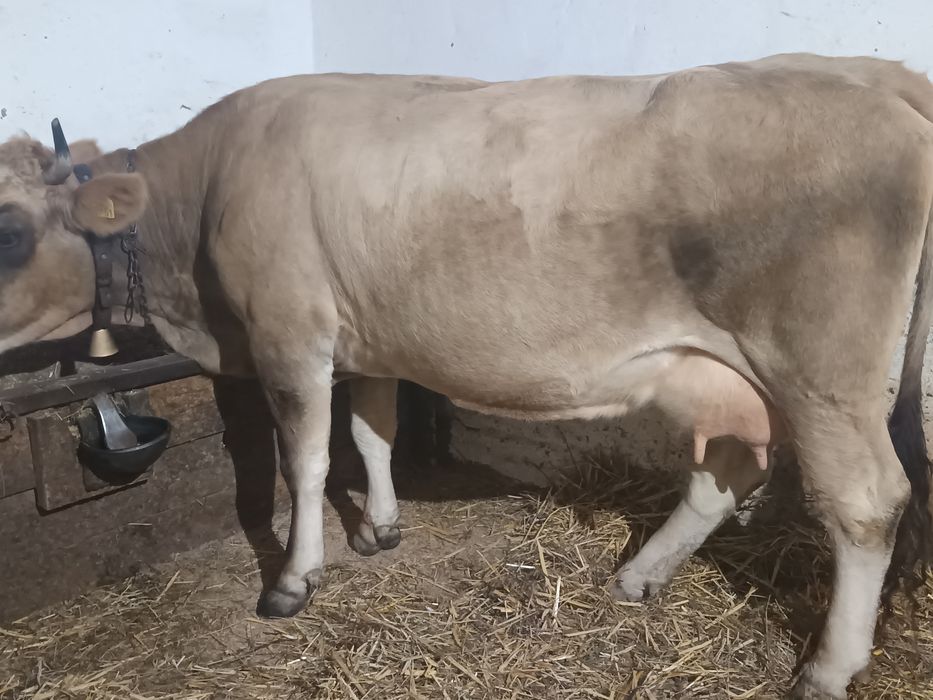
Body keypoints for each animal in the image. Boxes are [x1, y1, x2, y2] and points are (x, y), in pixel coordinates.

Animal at [1, 53, 932, 697]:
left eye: (9, 230)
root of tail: (868, 73)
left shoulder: (288, 334)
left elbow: (305, 460)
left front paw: (295, 579)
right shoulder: (367, 337)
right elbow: (371, 432)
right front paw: (379, 528)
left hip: (821, 374)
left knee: (864, 503)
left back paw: (827, 668)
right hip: (728, 371)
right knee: (724, 472)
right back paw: (641, 574)